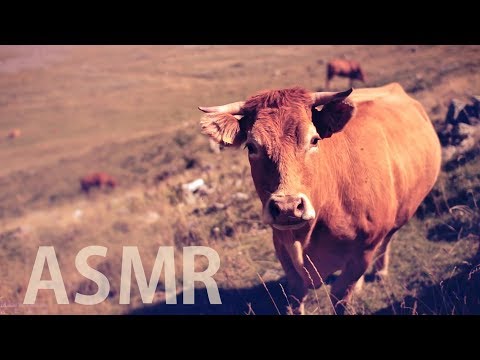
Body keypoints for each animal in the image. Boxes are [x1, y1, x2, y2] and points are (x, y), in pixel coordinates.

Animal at [199, 83, 442, 314]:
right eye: (251, 146)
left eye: (314, 140)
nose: (287, 207)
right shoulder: (282, 249)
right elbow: (297, 297)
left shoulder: (365, 249)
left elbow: (340, 295)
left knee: (389, 238)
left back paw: (381, 271)